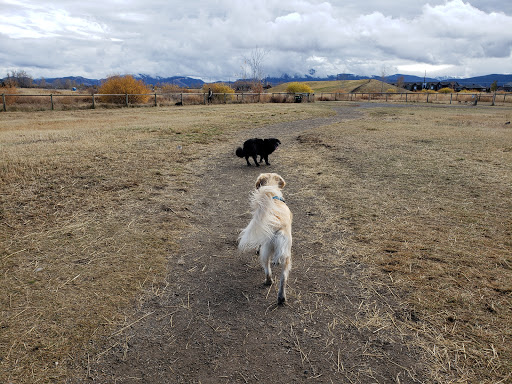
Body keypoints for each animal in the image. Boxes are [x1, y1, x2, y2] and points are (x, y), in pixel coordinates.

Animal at [237, 172, 290, 304]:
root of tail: (277, 225)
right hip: (286, 256)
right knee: (283, 278)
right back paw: (281, 298)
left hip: (265, 252)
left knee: (267, 270)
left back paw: (268, 281)